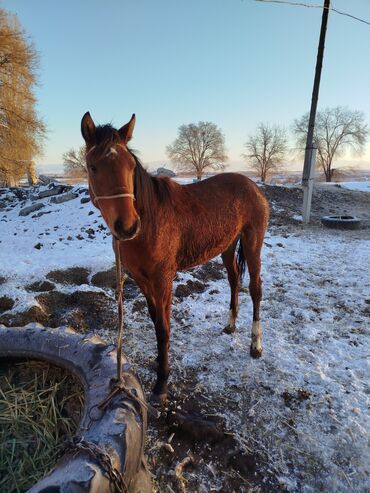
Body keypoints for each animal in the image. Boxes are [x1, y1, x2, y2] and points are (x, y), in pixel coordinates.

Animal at [81, 112, 268, 404]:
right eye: (93, 167)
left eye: (130, 166)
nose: (127, 226)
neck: (150, 221)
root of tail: (252, 185)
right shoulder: (143, 280)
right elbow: (155, 320)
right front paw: (159, 366)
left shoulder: (162, 280)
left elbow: (164, 328)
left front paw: (162, 382)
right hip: (227, 246)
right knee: (233, 280)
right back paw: (230, 325)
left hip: (252, 242)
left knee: (255, 288)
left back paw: (255, 344)